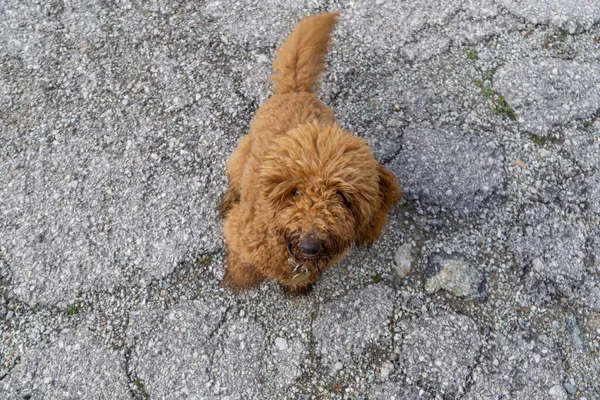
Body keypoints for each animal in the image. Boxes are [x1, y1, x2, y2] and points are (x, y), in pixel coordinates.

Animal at [218, 12, 400, 294]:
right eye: (294, 192)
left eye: (342, 197)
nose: (310, 246)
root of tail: (296, 89)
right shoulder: (239, 230)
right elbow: (241, 260)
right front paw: (240, 276)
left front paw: (298, 287)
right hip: (241, 155)